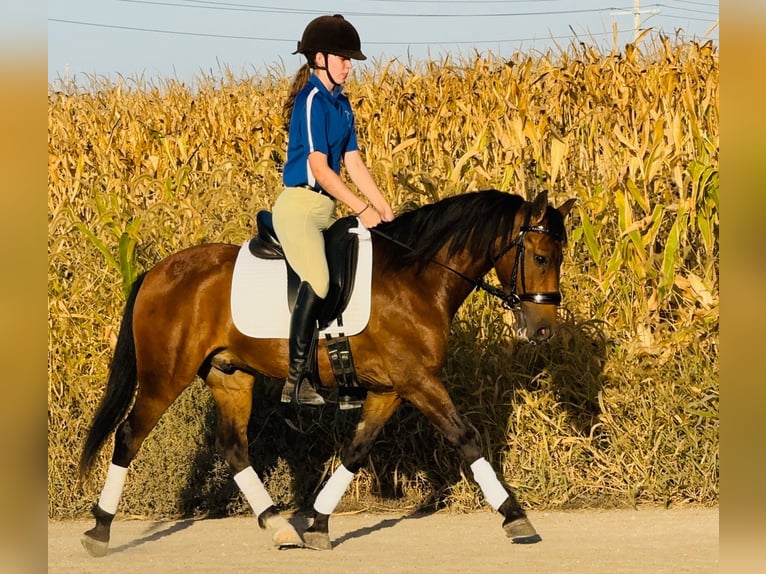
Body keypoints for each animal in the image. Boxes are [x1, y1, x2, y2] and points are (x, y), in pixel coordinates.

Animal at [78, 189, 576, 560]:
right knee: (128, 436)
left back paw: (280, 527)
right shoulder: (418, 381)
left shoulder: (391, 389)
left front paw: (317, 523)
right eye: (540, 257)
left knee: (234, 448)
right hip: (165, 376)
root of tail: (157, 272)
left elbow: (355, 449)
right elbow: (465, 438)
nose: (543, 329)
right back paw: (99, 530)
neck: (416, 278)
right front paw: (515, 517)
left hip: (231, 376)